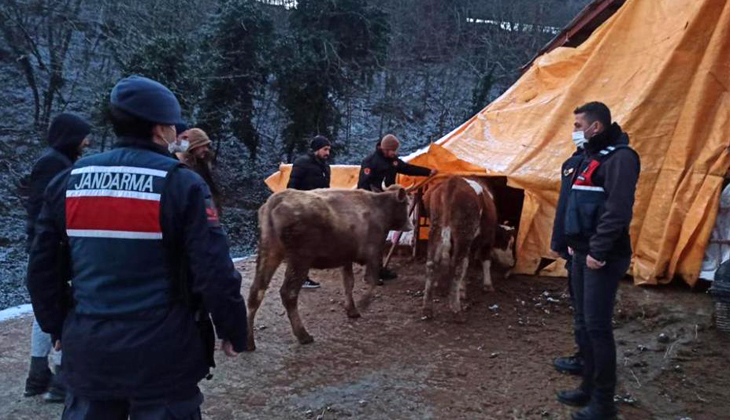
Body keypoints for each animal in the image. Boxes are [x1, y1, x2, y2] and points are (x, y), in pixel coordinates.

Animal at [247, 185, 412, 350]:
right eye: (406, 203)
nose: (410, 226)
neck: (379, 206)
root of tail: (276, 200)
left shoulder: (346, 257)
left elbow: (348, 283)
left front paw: (351, 310)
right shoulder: (373, 252)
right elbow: (372, 280)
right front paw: (363, 303)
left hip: (270, 250)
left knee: (257, 290)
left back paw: (249, 342)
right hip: (299, 259)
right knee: (289, 293)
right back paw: (303, 335)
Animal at [418, 177, 516, 318]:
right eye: (508, 243)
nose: (513, 263)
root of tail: (452, 182)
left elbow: (466, 263)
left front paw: (462, 288)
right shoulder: (487, 240)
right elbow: (485, 261)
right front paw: (487, 285)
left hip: (436, 228)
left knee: (432, 264)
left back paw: (427, 308)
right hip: (463, 233)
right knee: (457, 266)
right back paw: (456, 308)